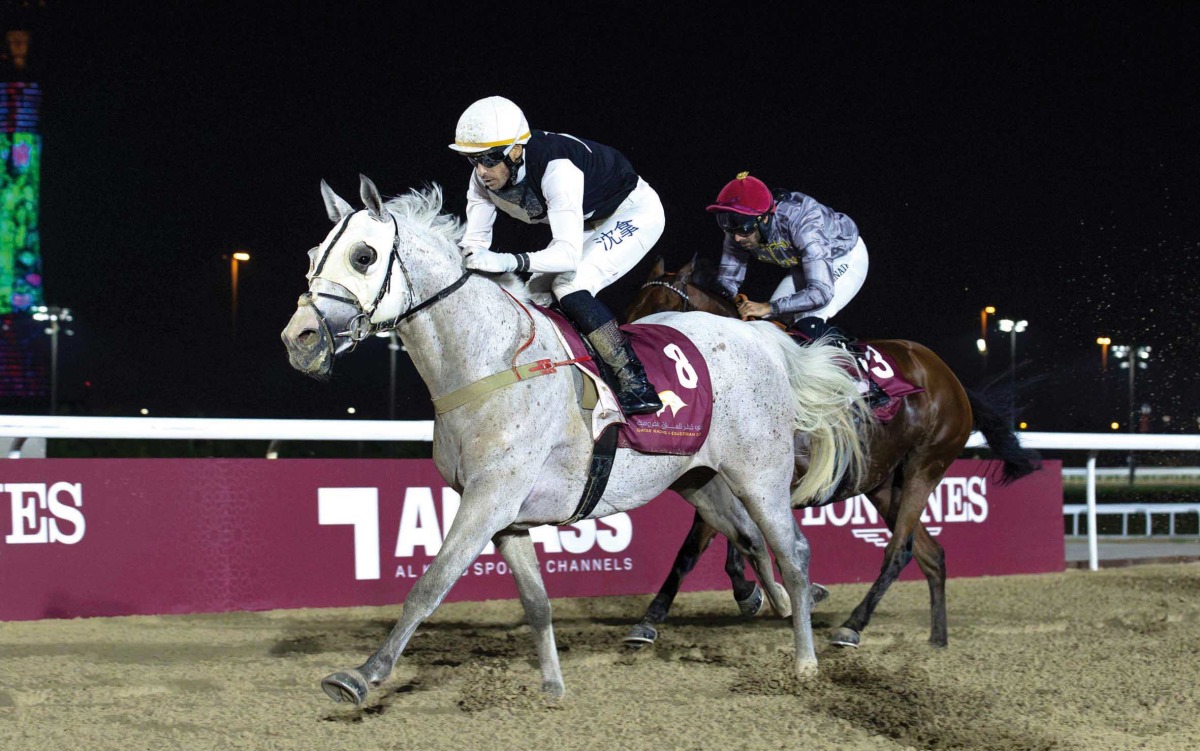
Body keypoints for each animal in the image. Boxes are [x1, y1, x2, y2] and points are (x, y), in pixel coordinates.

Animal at [278, 173, 873, 700]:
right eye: (312, 256)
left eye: (363, 256)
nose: (299, 339)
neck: (489, 361)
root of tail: (762, 338)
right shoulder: (507, 516)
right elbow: (537, 603)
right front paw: (552, 686)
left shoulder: (488, 499)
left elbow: (429, 585)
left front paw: (361, 675)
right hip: (698, 480)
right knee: (749, 536)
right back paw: (777, 606)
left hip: (759, 473)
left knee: (793, 550)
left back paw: (805, 660)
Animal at [624, 254, 1036, 647]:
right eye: (632, 309)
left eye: (662, 309)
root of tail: (954, 383)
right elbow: (703, 545)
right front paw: (652, 620)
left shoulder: (767, 478)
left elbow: (724, 539)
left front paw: (756, 593)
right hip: (882, 483)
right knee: (931, 554)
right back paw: (937, 638)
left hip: (925, 466)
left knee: (898, 551)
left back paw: (853, 626)